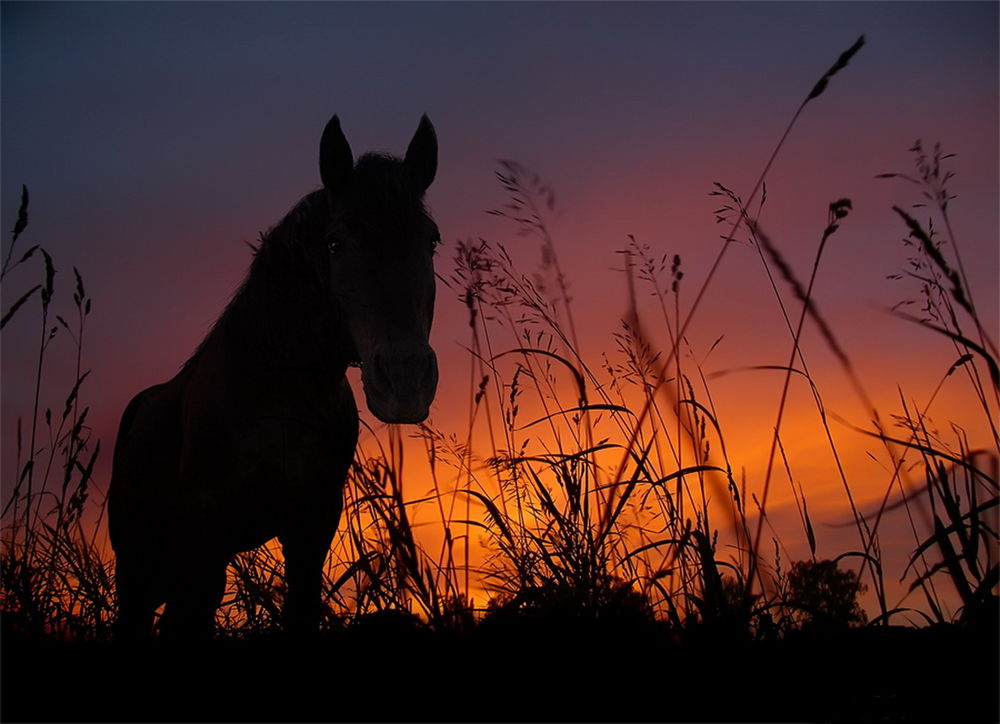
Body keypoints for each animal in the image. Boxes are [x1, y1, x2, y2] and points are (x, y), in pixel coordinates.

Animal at [107, 113, 440, 640]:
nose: (404, 380)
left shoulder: (310, 531)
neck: (275, 392)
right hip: (140, 573)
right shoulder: (208, 544)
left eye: (431, 239)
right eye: (335, 242)